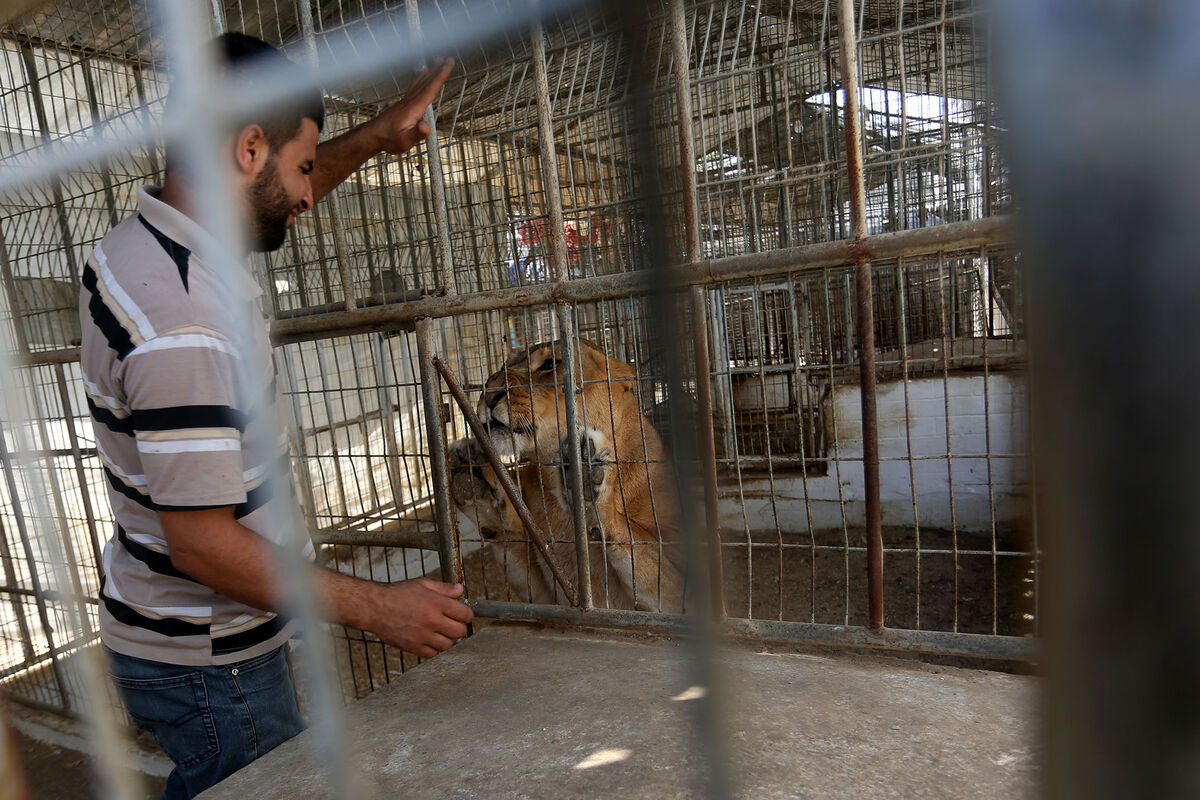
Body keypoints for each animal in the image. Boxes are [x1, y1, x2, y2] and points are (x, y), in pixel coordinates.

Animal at [448, 340, 686, 614]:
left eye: (550, 364)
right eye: (502, 367)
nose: (488, 395)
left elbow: (637, 542)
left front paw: (587, 477)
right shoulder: (546, 598)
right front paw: (475, 477)